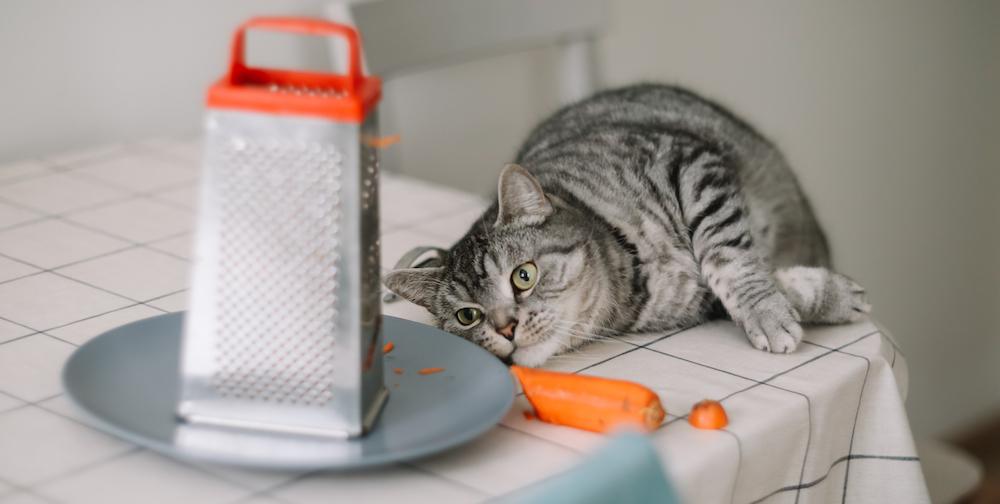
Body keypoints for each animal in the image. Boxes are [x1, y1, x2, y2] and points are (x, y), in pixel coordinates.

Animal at [382, 83, 868, 366]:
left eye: (523, 275)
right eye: (468, 316)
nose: (504, 328)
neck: (637, 264)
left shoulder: (689, 164)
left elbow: (728, 260)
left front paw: (771, 312)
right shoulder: (696, 302)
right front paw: (824, 297)